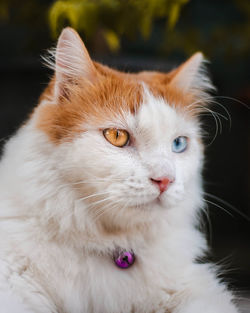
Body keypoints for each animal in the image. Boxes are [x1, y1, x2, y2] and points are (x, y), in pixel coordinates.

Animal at [0, 27, 239, 312]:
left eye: (179, 144)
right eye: (117, 136)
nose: (165, 180)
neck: (114, 246)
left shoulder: (194, 287)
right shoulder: (11, 283)